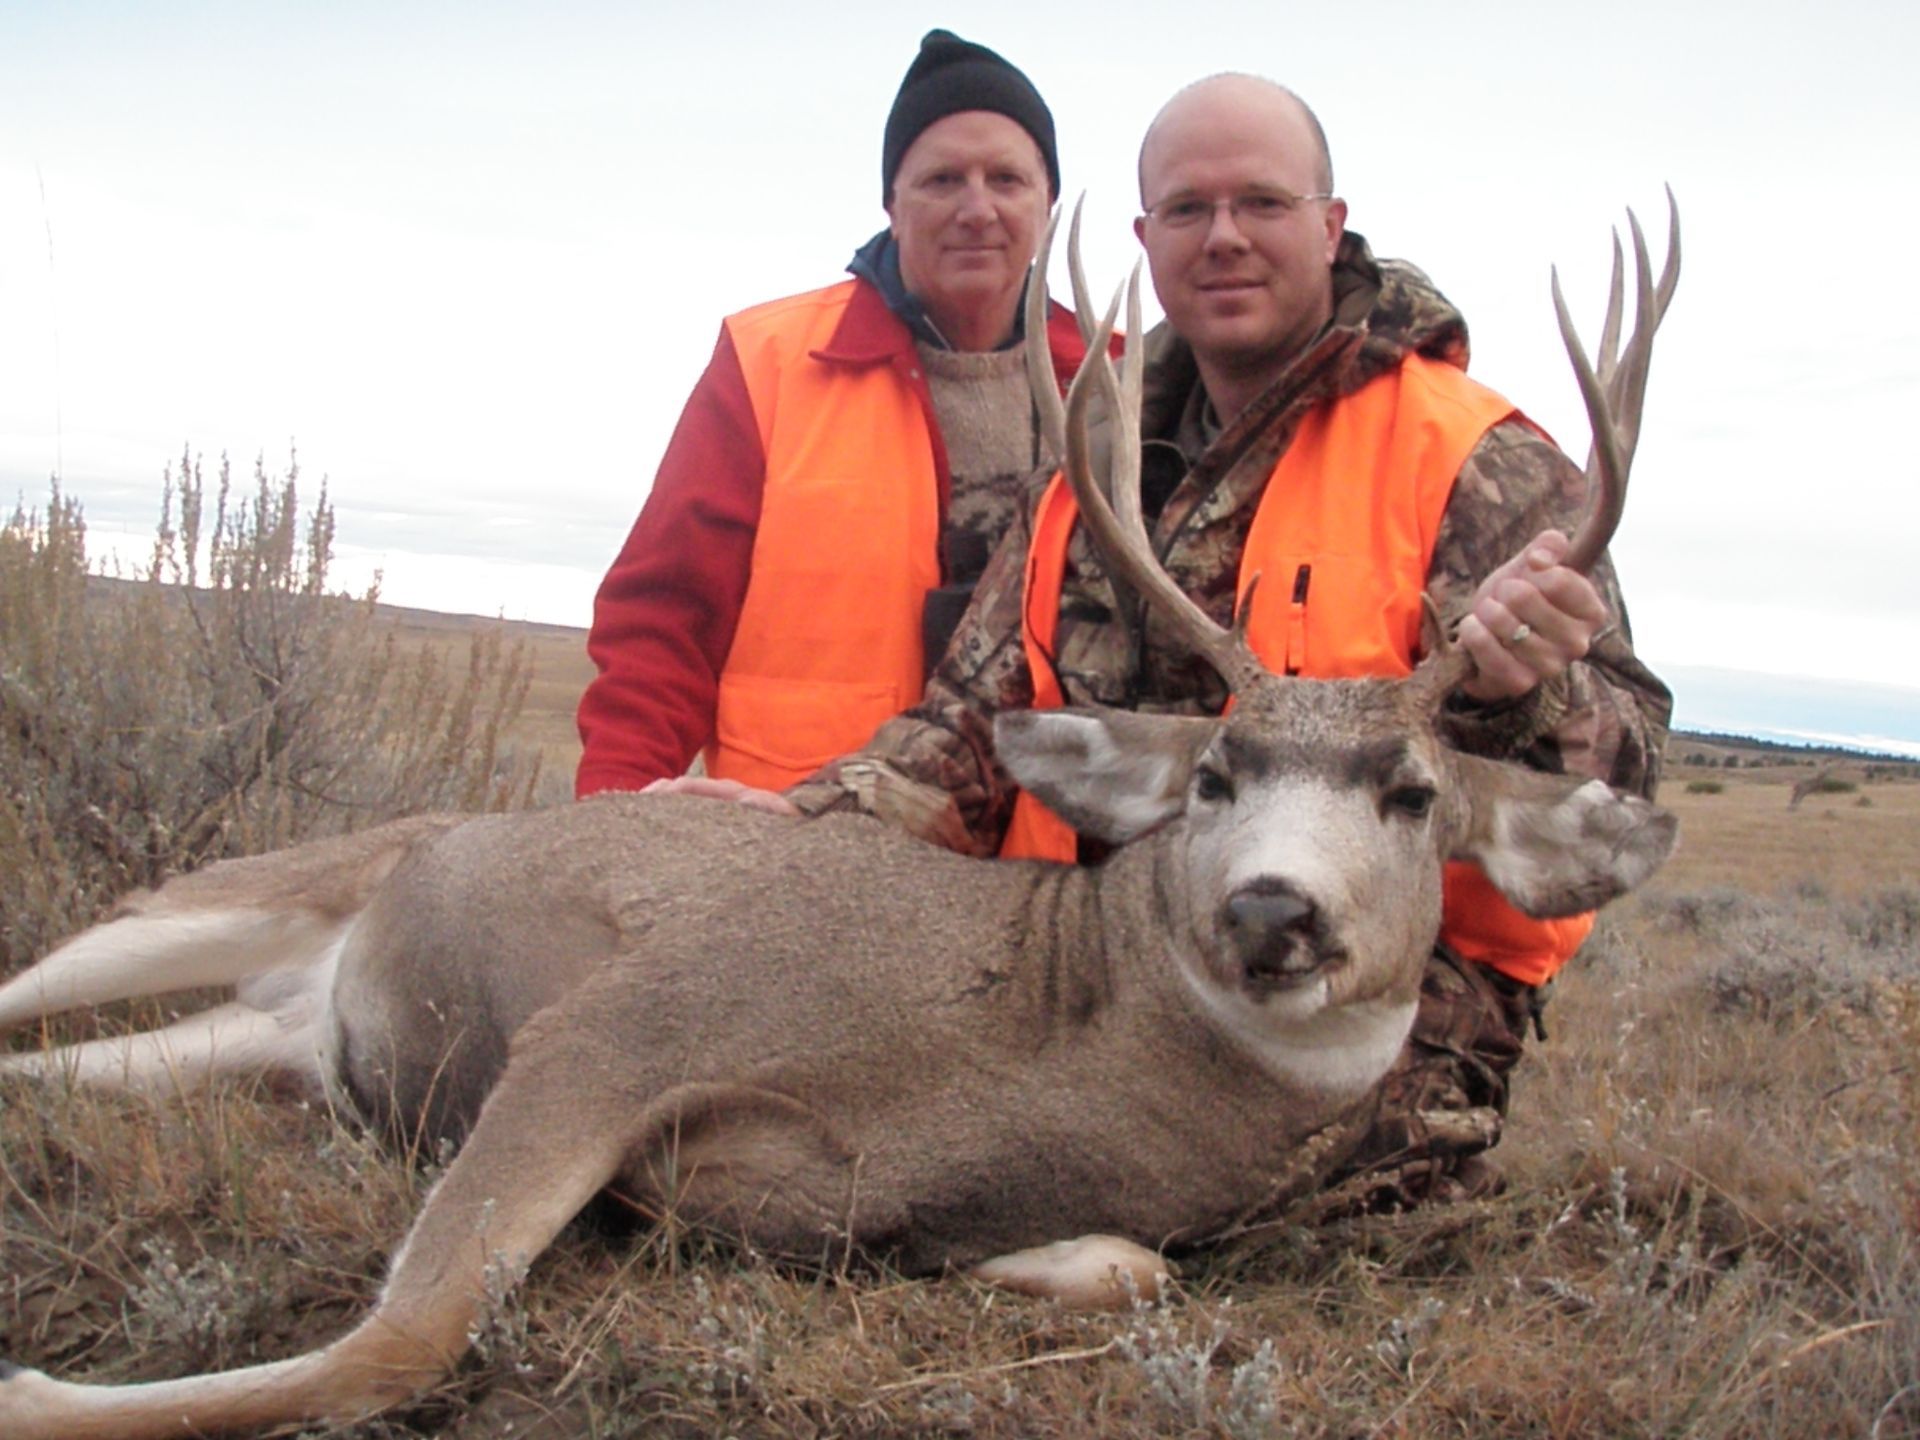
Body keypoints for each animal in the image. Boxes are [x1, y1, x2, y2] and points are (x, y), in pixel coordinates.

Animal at [0, 196, 1681, 1440]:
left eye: (1413, 794)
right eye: (1213, 776)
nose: (1272, 909)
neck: (1033, 1042)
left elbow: (1128, 1272)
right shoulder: (626, 1020)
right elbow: (403, 1339)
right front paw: (31, 1391)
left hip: (267, 1037)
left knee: (70, 1069)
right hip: (241, 887)